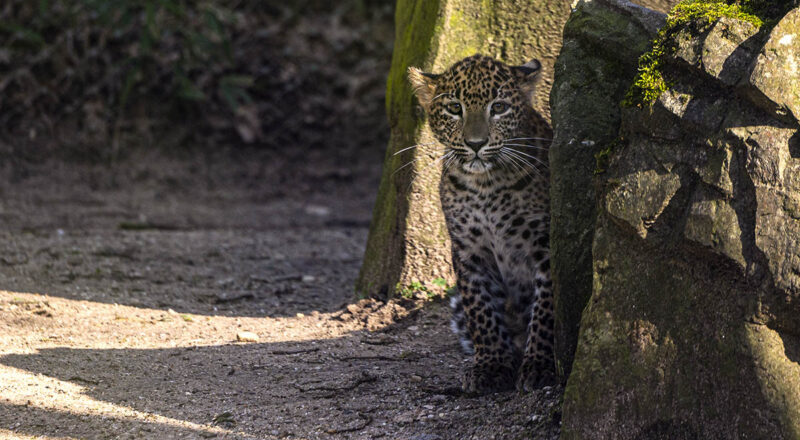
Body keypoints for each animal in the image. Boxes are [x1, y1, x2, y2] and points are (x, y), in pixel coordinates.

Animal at [407, 54, 554, 394]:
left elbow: (546, 308)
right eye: (454, 108)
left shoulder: (546, 244)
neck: (485, 185)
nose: (476, 143)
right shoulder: (468, 248)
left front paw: (539, 365)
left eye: (498, 107)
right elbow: (480, 308)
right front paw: (492, 365)